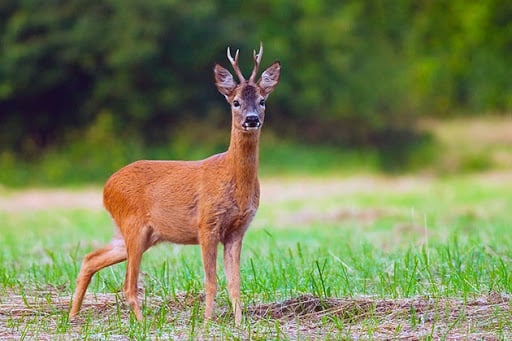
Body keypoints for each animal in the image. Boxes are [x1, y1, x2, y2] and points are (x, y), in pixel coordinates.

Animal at [69, 43, 280, 324]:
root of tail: (106, 188)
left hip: (141, 233)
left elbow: (235, 283)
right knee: (128, 284)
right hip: (133, 224)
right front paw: (206, 322)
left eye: (262, 100)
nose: (252, 119)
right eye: (235, 102)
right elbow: (211, 281)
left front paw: (239, 322)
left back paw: (73, 315)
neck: (232, 178)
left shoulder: (237, 230)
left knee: (91, 258)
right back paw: (142, 323)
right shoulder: (206, 224)